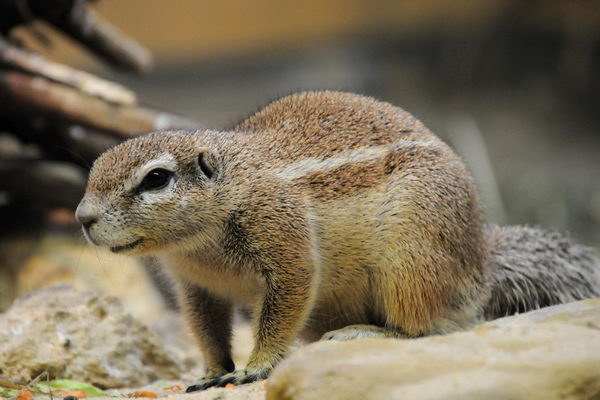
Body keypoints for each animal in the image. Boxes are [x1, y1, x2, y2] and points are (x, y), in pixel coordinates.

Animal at [76, 90, 600, 390]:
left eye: (156, 179)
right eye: (94, 167)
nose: (82, 217)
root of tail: (483, 263)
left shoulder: (285, 241)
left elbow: (281, 308)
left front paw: (255, 366)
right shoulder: (196, 287)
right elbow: (207, 330)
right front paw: (210, 372)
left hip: (412, 262)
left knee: (433, 326)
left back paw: (367, 332)